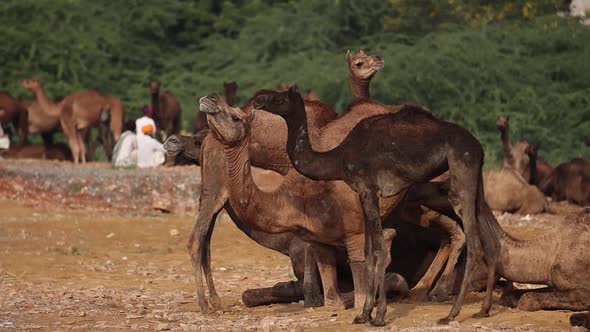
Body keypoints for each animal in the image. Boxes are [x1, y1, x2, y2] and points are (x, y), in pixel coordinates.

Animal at [256, 87, 504, 326]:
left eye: (278, 99)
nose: (258, 101)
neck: (339, 157)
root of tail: (477, 146)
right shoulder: (362, 194)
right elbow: (368, 250)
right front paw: (364, 314)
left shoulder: (368, 189)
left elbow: (379, 249)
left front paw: (378, 316)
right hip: (475, 180)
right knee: (490, 241)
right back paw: (483, 309)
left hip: (461, 170)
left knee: (473, 241)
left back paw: (451, 314)